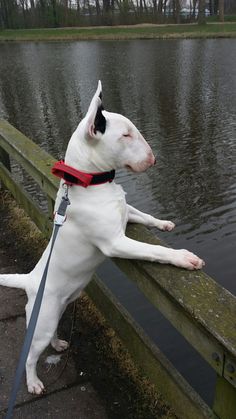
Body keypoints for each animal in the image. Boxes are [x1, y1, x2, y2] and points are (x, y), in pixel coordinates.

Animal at [0, 81, 203, 394]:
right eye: (126, 134)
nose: (154, 159)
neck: (89, 184)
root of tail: (30, 281)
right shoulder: (115, 242)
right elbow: (153, 251)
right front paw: (184, 258)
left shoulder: (125, 213)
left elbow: (143, 215)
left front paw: (165, 223)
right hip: (42, 321)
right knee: (31, 355)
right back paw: (33, 382)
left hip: (58, 310)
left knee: (53, 333)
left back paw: (59, 343)